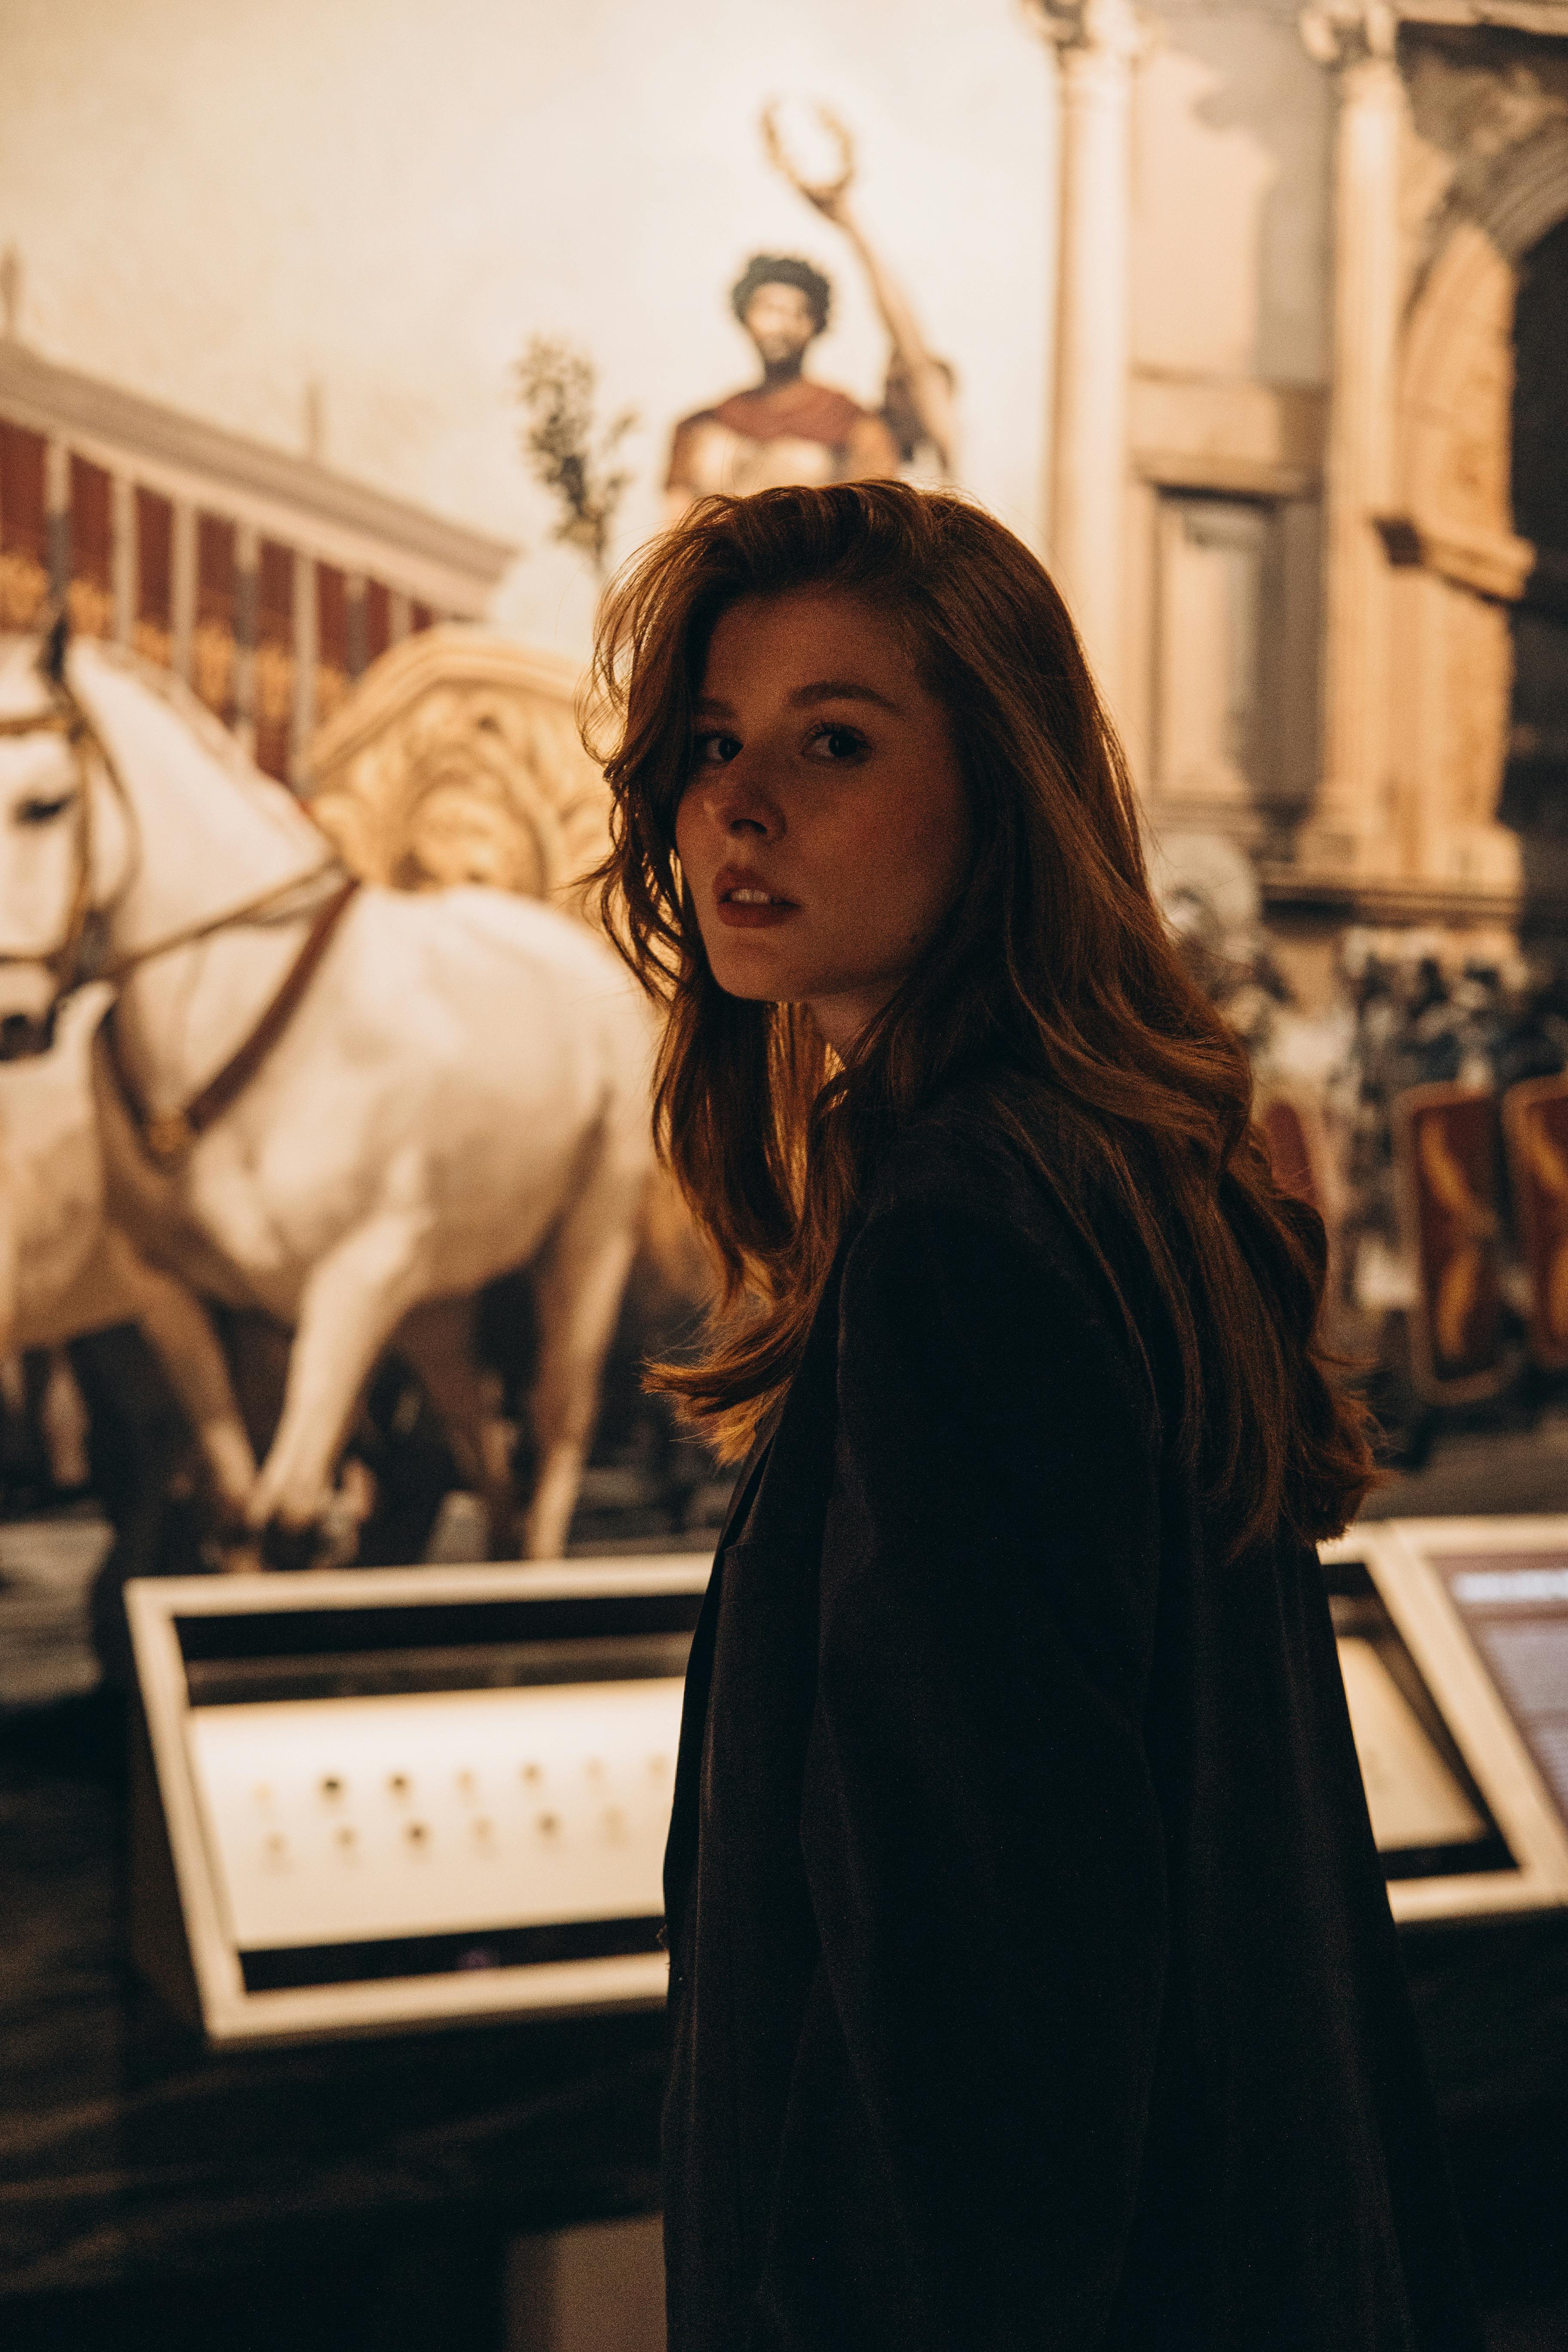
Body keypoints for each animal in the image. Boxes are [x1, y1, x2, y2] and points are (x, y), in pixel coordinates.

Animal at [0, 635, 658, 1571]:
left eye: (45, 805)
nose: (12, 1021)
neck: (231, 1009)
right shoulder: (186, 1301)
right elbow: (244, 1516)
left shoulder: (357, 1280)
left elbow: (289, 1511)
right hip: (438, 1302)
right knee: (474, 1446)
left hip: (584, 1244)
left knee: (554, 1426)